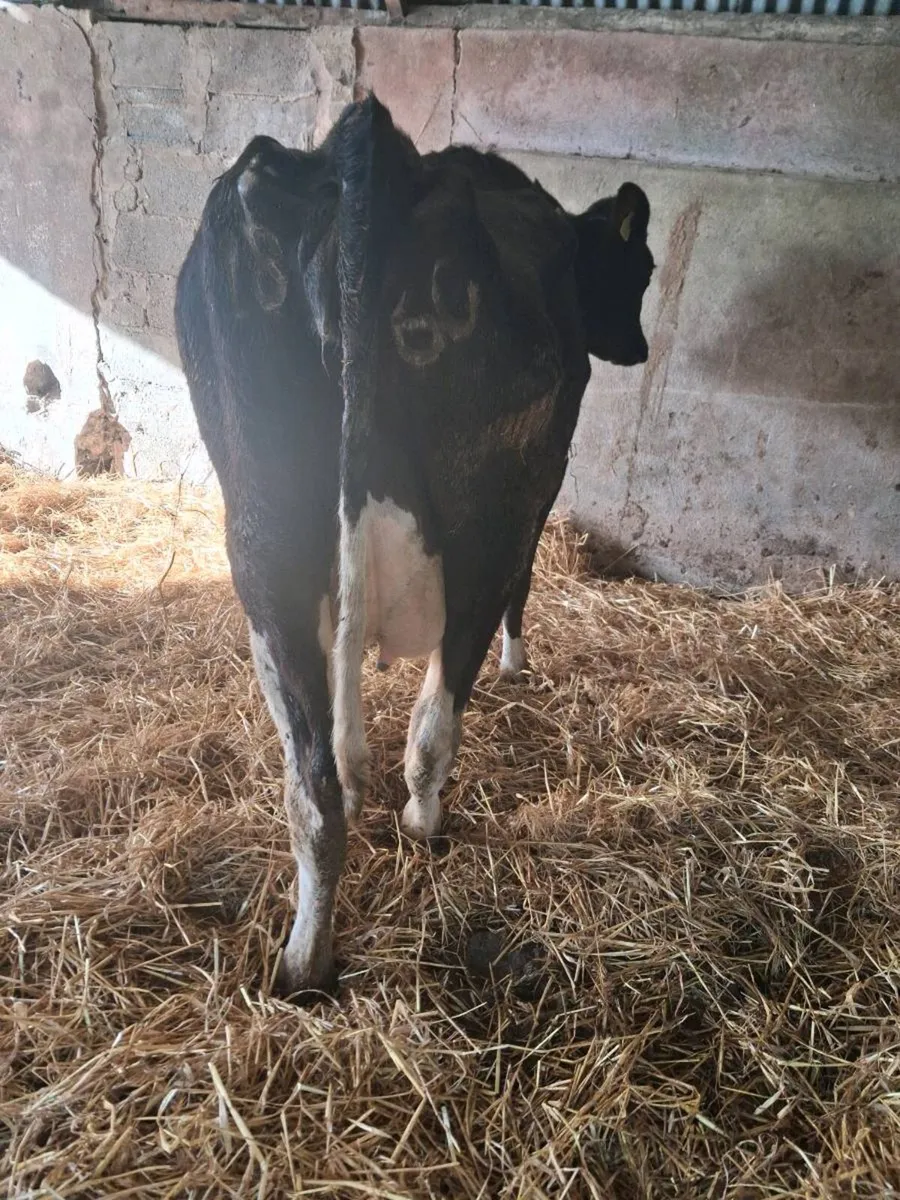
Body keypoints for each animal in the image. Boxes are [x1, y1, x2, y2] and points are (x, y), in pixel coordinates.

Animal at [175, 96, 653, 999]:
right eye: (640, 270)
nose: (639, 349)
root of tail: (370, 149)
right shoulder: (542, 488)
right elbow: (524, 587)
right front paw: (519, 664)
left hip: (263, 537)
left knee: (315, 786)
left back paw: (304, 959)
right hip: (485, 522)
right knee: (437, 714)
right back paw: (425, 823)